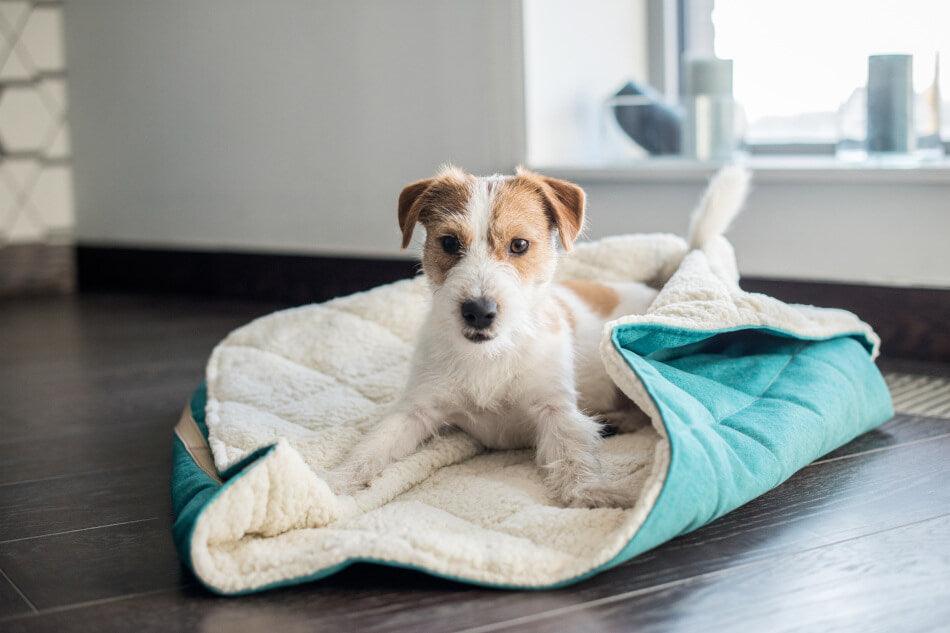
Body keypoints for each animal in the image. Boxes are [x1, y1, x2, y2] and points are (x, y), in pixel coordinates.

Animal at [334, 165, 752, 506]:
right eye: (449, 242)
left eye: (519, 245)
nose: (478, 311)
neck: (491, 355)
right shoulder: (416, 409)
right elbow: (375, 445)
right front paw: (336, 484)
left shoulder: (555, 410)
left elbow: (572, 454)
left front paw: (592, 492)